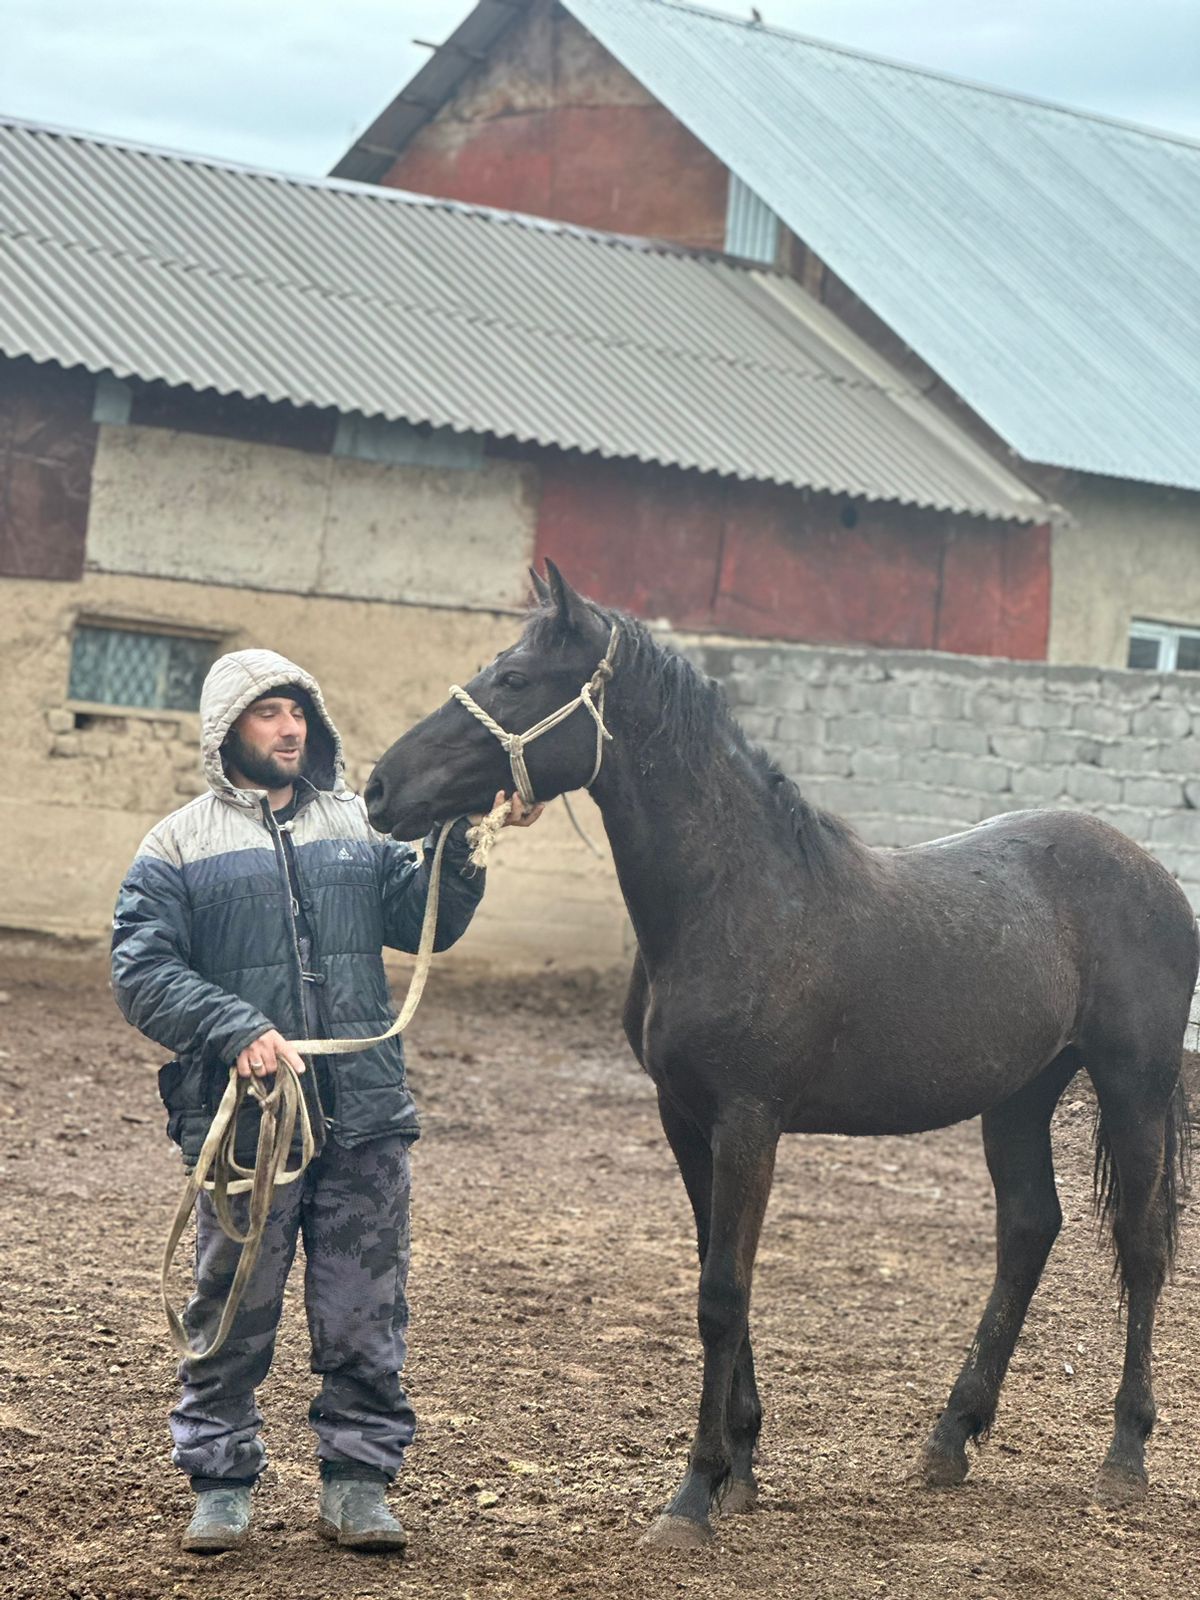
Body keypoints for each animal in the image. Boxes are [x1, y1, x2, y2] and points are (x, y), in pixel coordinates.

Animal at [371, 566, 1196, 1548]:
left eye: (515, 680)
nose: (379, 788)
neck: (734, 896)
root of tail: (1153, 874)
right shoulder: (687, 1119)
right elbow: (720, 1277)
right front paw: (742, 1470)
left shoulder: (749, 1121)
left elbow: (723, 1293)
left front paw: (691, 1499)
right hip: (1020, 1095)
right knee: (1030, 1228)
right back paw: (950, 1439)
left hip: (1133, 1083)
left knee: (1139, 1247)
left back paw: (1124, 1457)